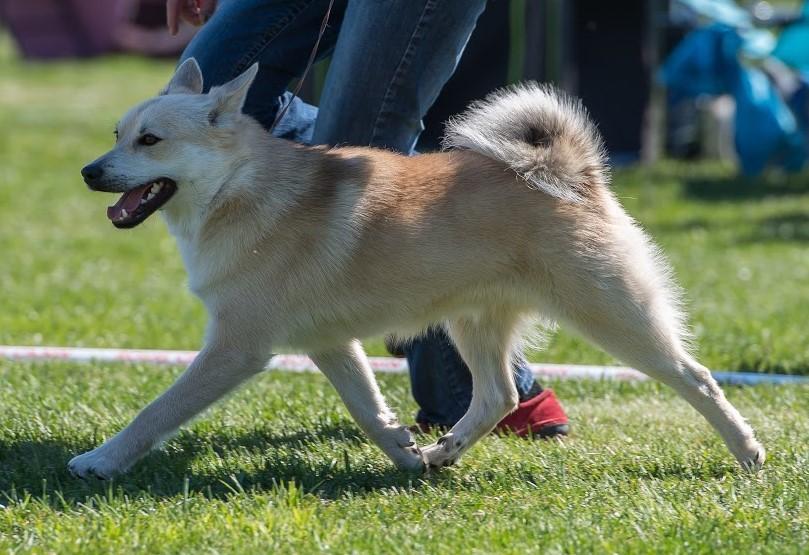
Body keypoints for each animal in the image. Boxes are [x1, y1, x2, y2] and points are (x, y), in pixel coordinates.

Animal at [71, 58, 764, 480]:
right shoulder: (331, 345)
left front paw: (101, 461)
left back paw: (747, 451)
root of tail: (575, 175)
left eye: (150, 141)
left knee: (698, 378)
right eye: (116, 134)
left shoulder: (236, 349)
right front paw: (404, 453)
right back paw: (445, 449)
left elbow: (157, 411)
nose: (88, 171)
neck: (239, 189)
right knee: (496, 395)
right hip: (473, 323)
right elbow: (368, 408)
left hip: (613, 317)